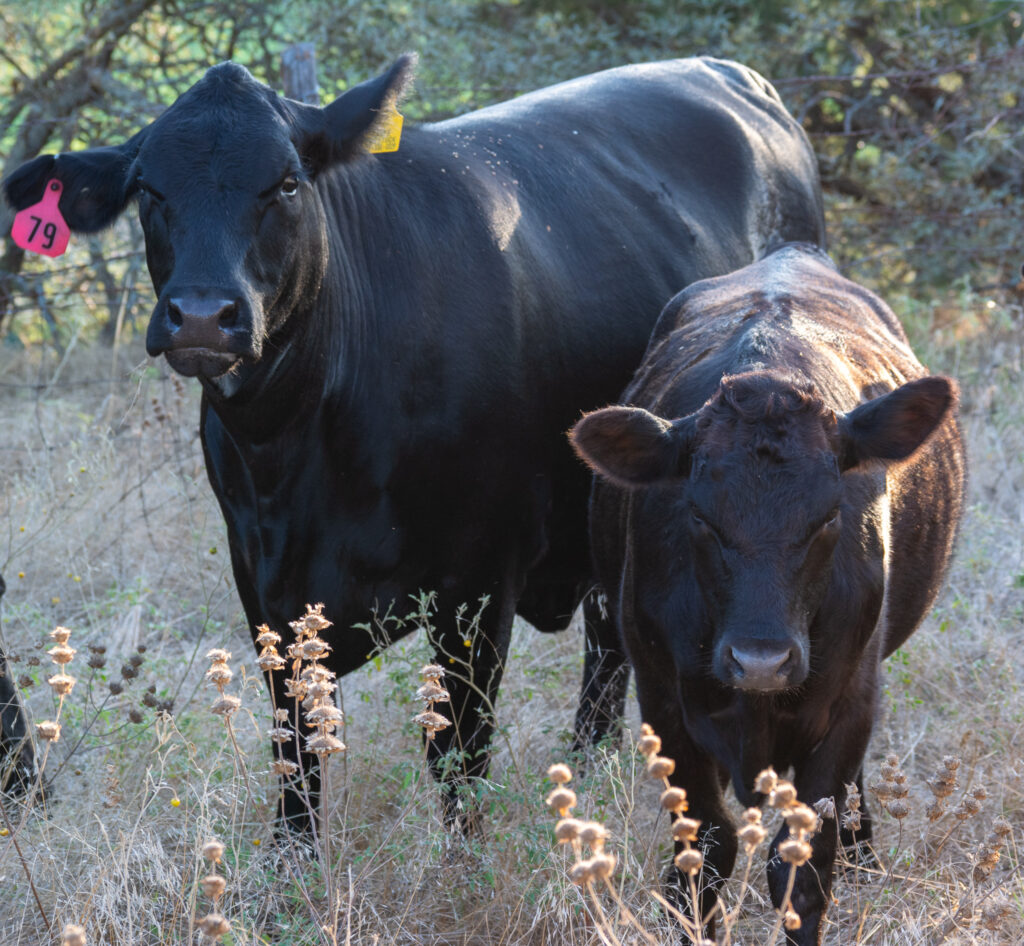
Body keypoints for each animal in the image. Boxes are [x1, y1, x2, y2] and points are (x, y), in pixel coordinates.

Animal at [4, 57, 823, 827]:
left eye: (287, 184)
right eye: (149, 189)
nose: (203, 315)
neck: (298, 456)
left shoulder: (481, 581)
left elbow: (458, 756)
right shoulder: (261, 585)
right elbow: (297, 755)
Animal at [573, 245, 962, 946]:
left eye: (830, 516)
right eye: (699, 516)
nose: (761, 661)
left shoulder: (847, 697)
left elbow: (802, 868)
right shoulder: (663, 698)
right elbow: (708, 850)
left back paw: (866, 853)